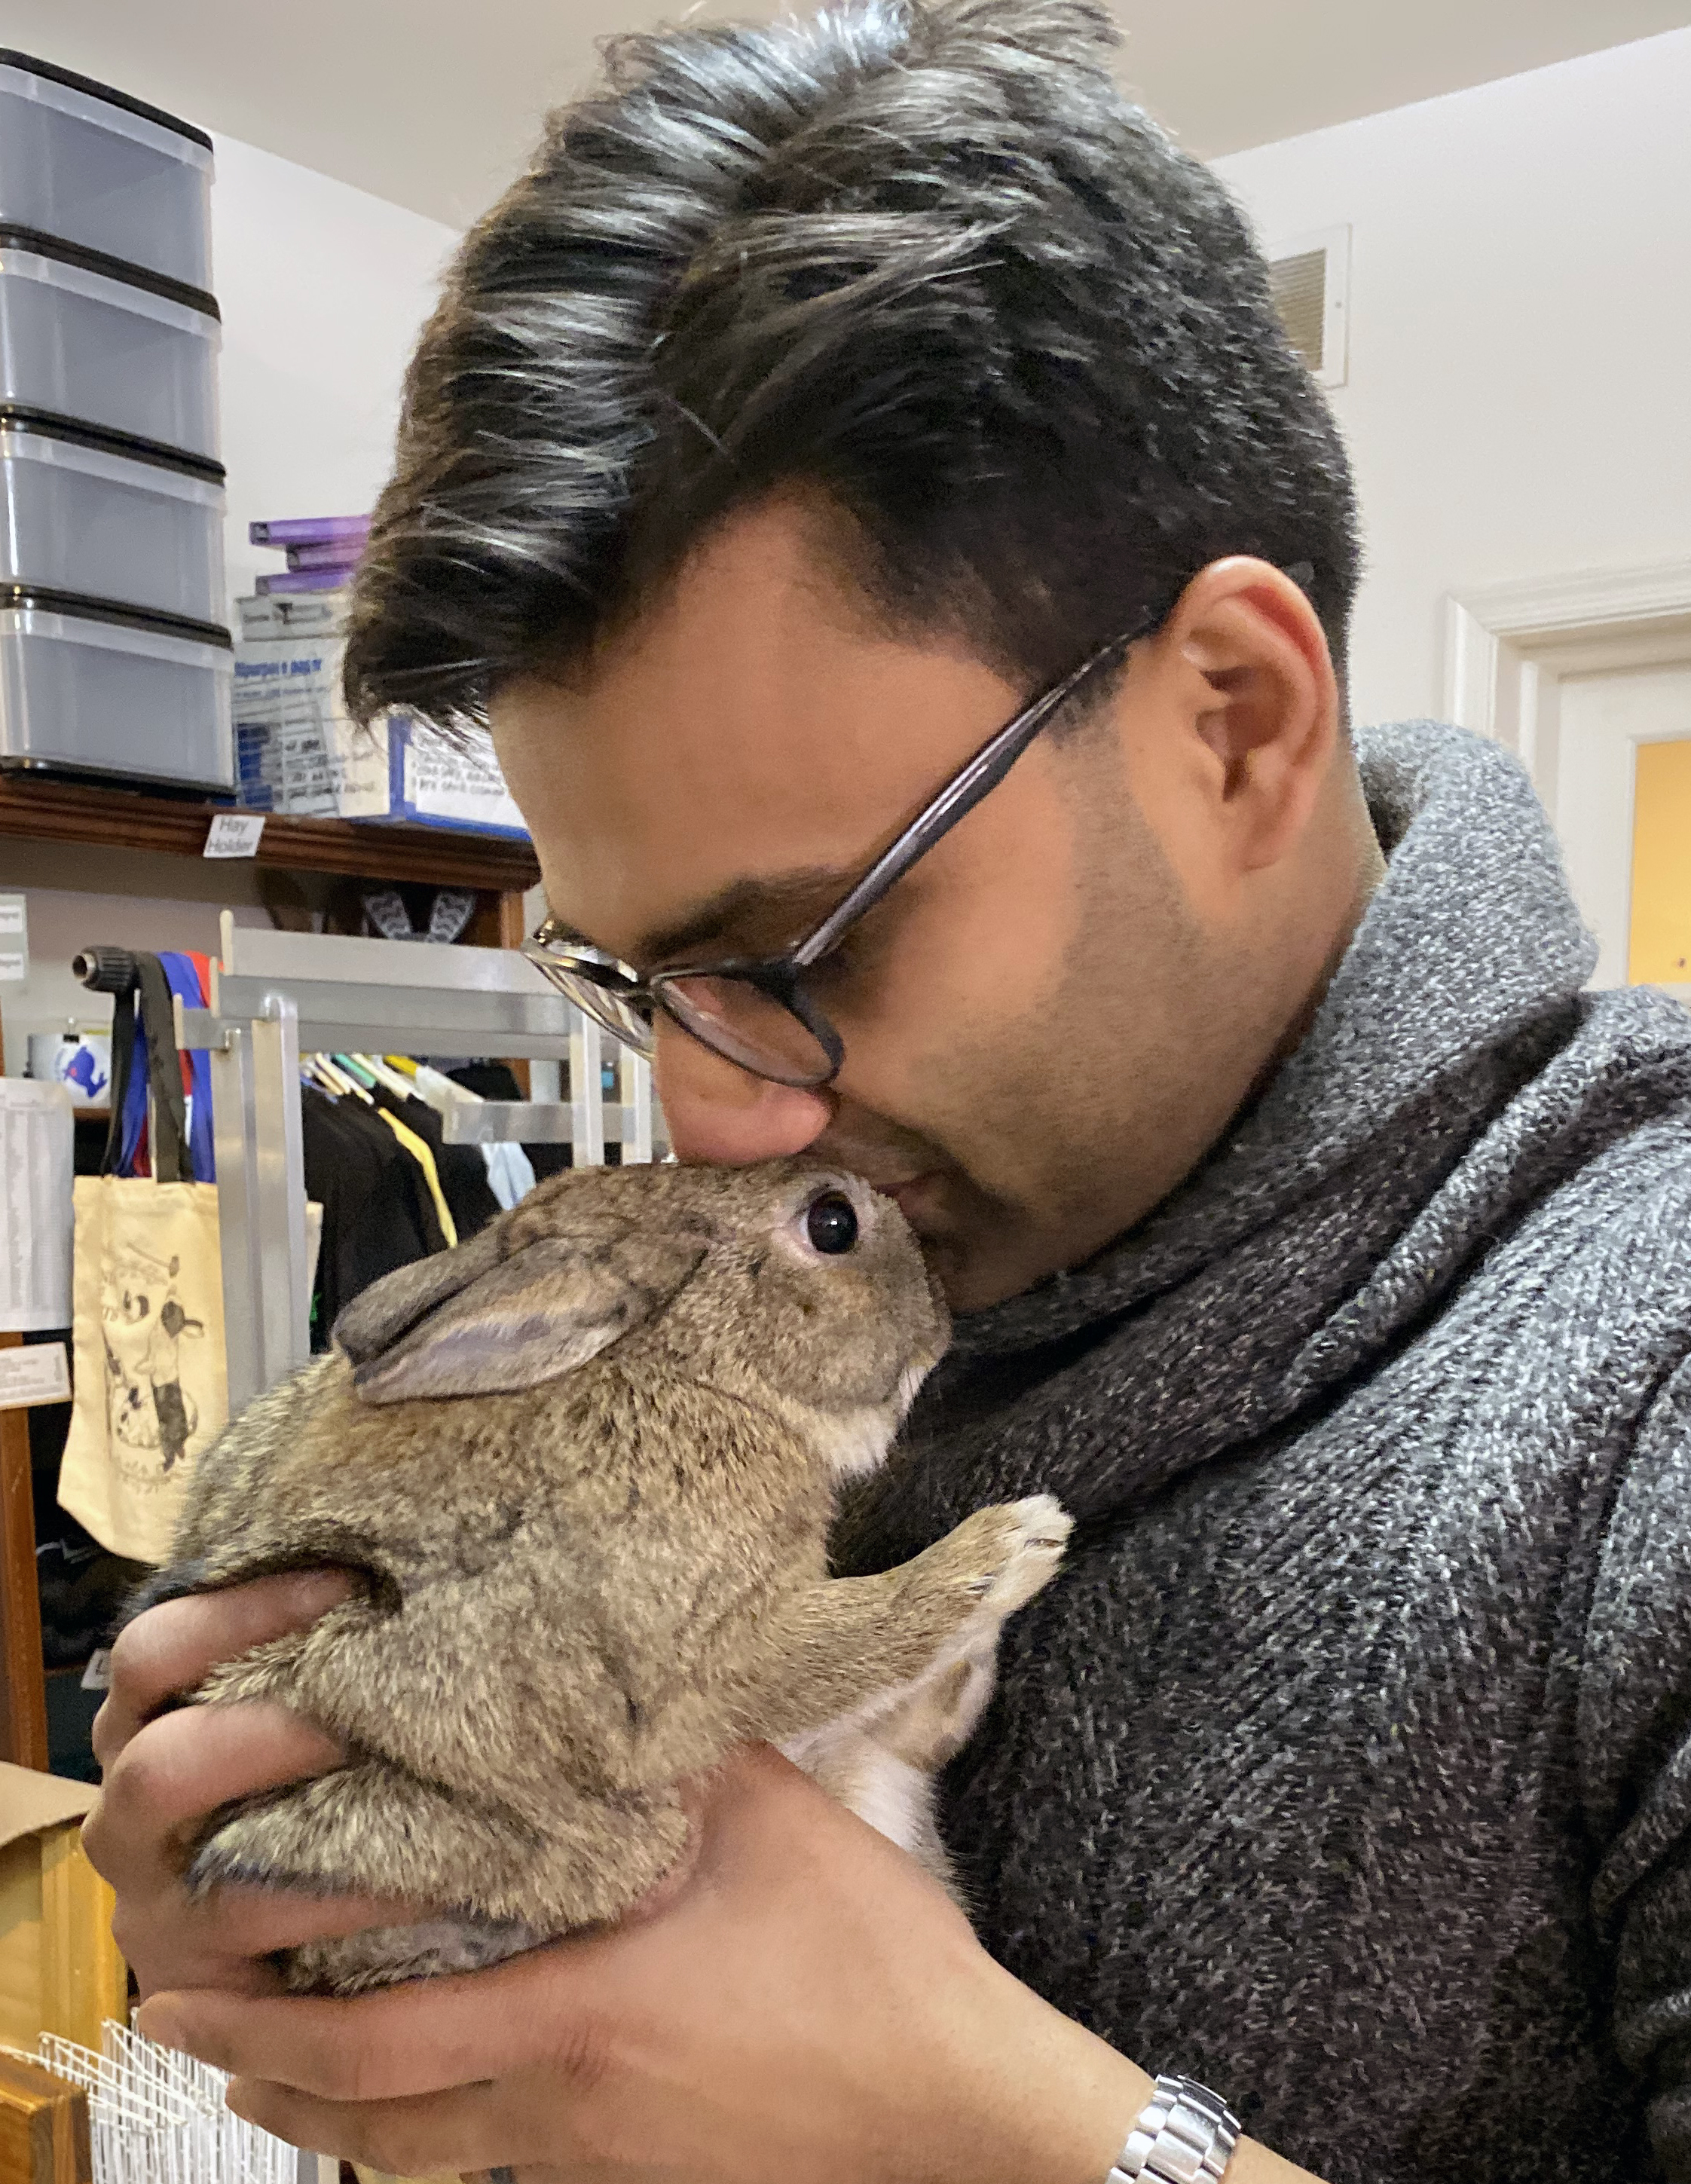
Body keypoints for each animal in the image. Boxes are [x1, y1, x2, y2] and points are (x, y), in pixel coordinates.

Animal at [129, 1156, 1072, 1995]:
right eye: (833, 1224)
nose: (941, 1307)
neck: (679, 1365)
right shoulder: (706, 1658)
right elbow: (856, 1637)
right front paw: (1015, 1543)